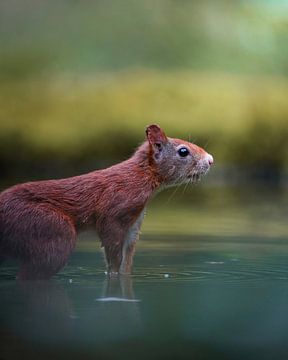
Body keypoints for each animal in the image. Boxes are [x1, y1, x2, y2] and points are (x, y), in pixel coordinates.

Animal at [0, 125, 212, 280]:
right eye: (183, 151)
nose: (210, 160)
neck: (141, 176)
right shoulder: (114, 213)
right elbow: (113, 255)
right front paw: (114, 276)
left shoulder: (134, 223)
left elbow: (127, 259)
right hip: (49, 229)